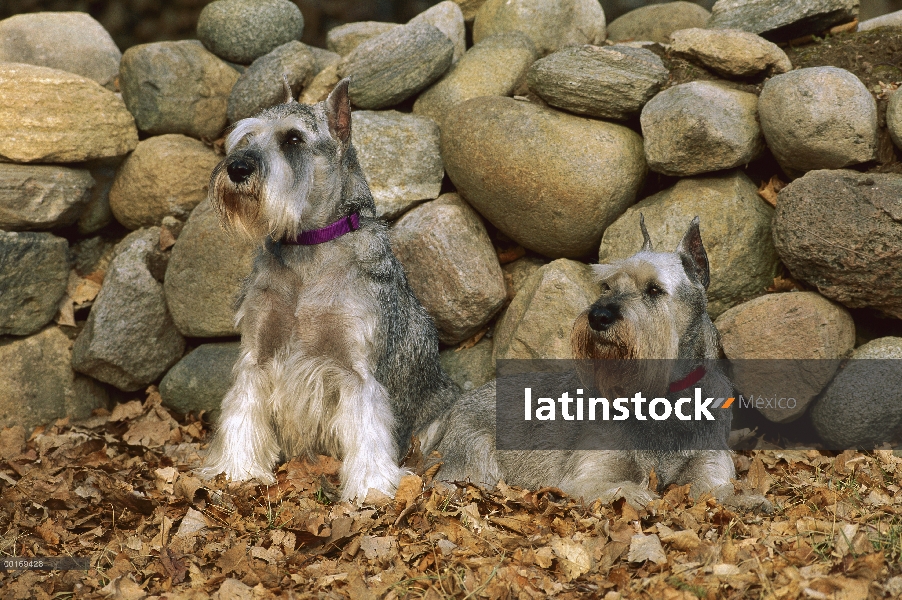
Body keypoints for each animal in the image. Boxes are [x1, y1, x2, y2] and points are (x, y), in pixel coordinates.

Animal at [203, 79, 460, 502]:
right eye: (247, 137)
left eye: (293, 139)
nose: (237, 168)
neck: (308, 250)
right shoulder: (257, 355)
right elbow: (242, 410)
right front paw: (237, 470)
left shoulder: (357, 372)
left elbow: (368, 430)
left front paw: (371, 487)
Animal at [430, 218, 768, 508]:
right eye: (607, 286)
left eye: (654, 290)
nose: (598, 316)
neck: (666, 397)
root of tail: (454, 407)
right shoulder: (590, 475)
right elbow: (626, 488)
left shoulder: (709, 464)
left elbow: (716, 490)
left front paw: (746, 499)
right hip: (476, 464)